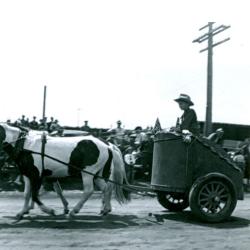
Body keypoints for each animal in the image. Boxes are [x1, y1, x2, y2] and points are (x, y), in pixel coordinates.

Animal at [0, 123, 130, 219]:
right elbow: (27, 194)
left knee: (89, 190)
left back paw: (75, 211)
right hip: (97, 174)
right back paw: (105, 209)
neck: (25, 145)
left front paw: (49, 210)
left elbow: (35, 195)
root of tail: (108, 145)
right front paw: (22, 212)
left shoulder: (37, 175)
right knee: (106, 188)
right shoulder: (28, 175)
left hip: (88, 172)